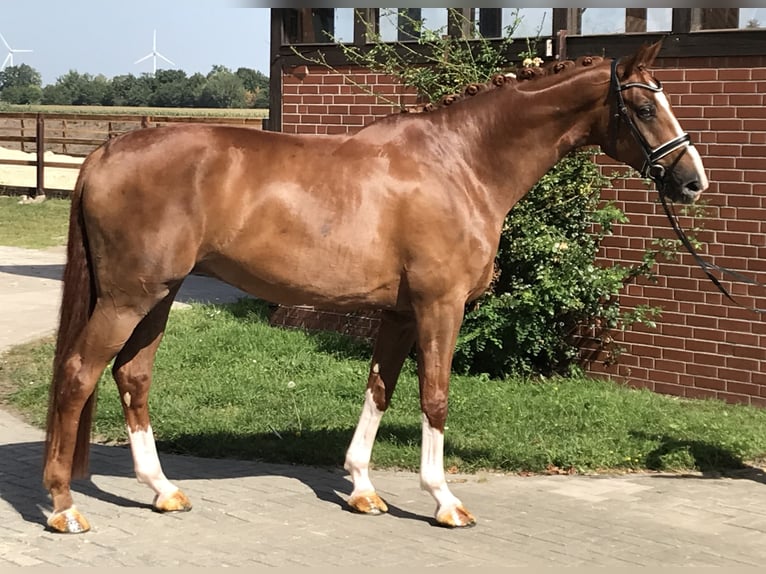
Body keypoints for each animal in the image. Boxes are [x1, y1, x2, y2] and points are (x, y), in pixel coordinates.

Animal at [45, 41, 712, 536]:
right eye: (645, 109)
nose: (691, 181)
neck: (461, 163)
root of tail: (107, 149)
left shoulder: (399, 313)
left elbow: (379, 390)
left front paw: (363, 489)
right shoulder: (441, 306)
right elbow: (435, 397)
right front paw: (444, 500)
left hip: (158, 295)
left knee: (132, 376)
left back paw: (162, 490)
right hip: (129, 297)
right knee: (79, 373)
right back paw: (63, 507)